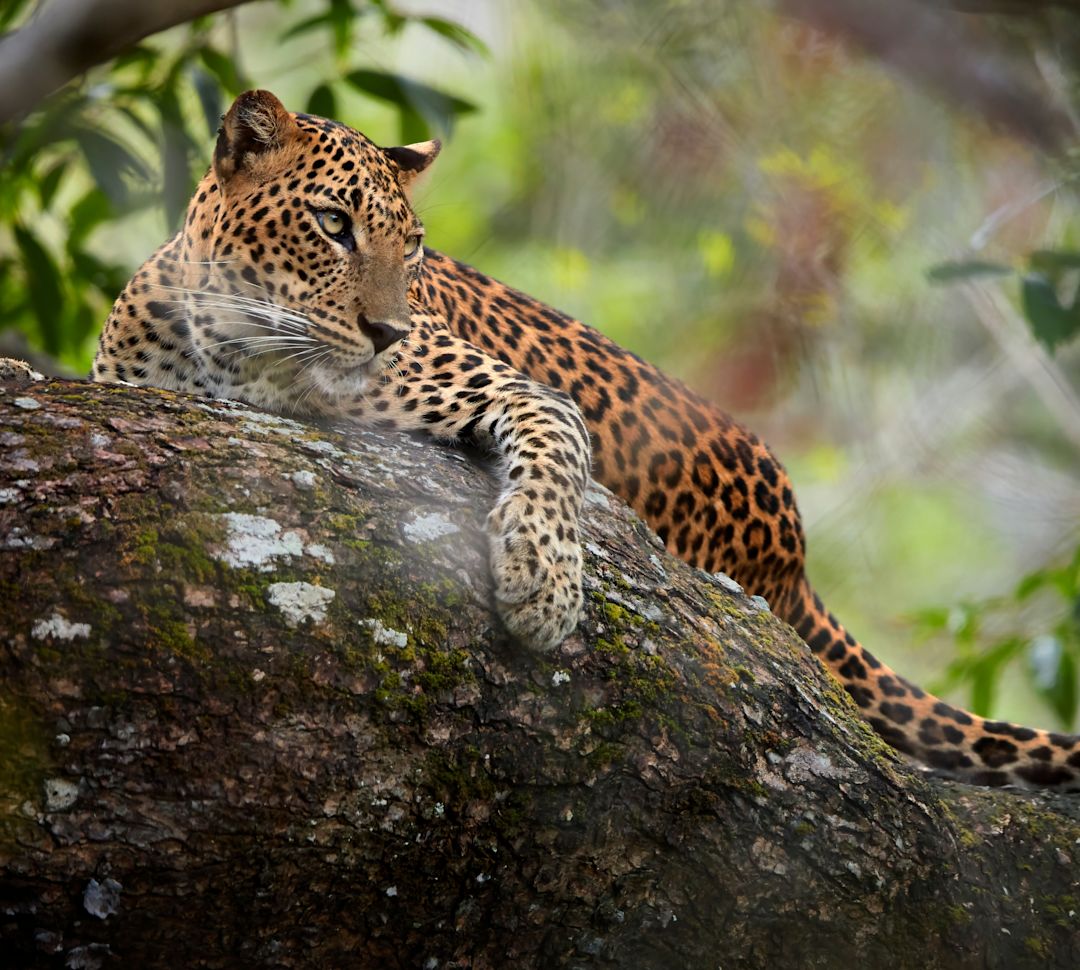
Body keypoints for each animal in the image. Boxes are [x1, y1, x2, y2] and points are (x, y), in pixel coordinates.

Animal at [91, 89, 591, 653]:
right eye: (333, 224)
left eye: (410, 245)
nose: (390, 334)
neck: (228, 356)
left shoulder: (517, 388)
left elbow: (559, 445)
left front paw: (547, 578)